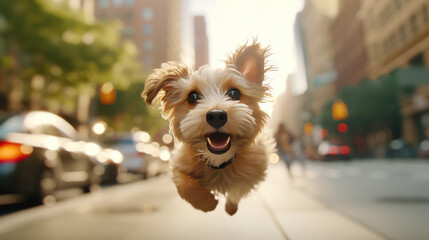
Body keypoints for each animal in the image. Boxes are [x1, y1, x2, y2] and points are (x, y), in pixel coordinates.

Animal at [142, 41, 272, 216]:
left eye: (234, 93)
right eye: (192, 97)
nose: (216, 115)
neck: (219, 162)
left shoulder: (254, 172)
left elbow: (237, 189)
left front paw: (230, 207)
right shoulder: (179, 163)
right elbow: (184, 184)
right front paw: (207, 203)